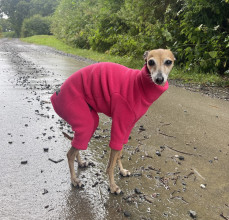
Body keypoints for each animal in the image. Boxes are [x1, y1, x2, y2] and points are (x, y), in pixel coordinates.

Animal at [50, 48, 175, 194]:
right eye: (151, 62)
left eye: (168, 62)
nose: (159, 79)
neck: (139, 85)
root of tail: (55, 95)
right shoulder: (119, 124)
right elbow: (111, 163)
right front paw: (113, 186)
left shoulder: (127, 128)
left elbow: (119, 153)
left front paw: (122, 171)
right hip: (82, 119)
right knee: (70, 154)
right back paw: (75, 180)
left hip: (88, 121)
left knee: (76, 144)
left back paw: (80, 163)